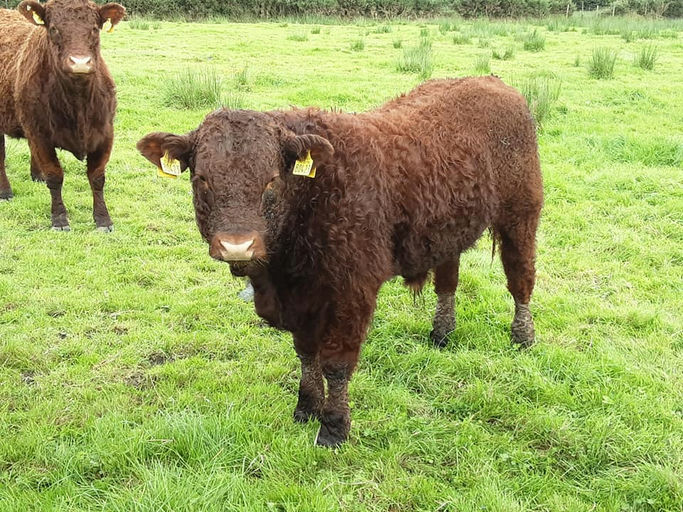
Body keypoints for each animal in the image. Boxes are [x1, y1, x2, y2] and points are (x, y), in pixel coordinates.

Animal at [0, 0, 125, 231]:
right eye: (53, 29)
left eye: (94, 28)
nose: (80, 62)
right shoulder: (40, 135)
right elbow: (55, 176)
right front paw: (59, 219)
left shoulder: (105, 134)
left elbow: (97, 177)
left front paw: (103, 220)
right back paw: (5, 191)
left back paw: (36, 176)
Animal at [137, 77, 544, 446]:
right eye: (202, 179)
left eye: (272, 180)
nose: (238, 246)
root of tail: (495, 82)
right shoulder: (299, 299)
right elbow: (306, 354)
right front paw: (305, 407)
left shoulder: (352, 293)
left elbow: (336, 363)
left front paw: (334, 427)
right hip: (448, 230)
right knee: (448, 279)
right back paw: (441, 333)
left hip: (522, 213)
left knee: (520, 277)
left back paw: (523, 337)